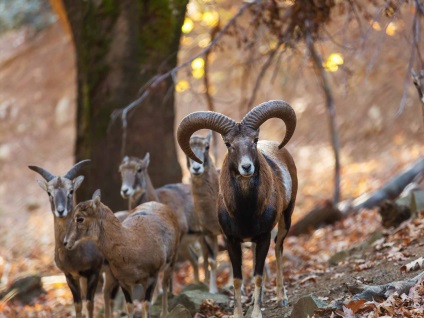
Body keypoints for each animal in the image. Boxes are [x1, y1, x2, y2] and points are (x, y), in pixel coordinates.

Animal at [28, 161, 104, 318]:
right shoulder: (70, 276)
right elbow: (78, 305)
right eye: (49, 192)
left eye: (71, 191)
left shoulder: (94, 272)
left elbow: (90, 304)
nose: (61, 210)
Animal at [63, 190, 180, 318]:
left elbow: (146, 304)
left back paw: (164, 313)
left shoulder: (152, 277)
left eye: (80, 218)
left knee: (164, 284)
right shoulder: (124, 282)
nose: (66, 242)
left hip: (171, 261)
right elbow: (130, 307)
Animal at [178, 100, 298, 318]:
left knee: (278, 249)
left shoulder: (263, 237)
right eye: (228, 144)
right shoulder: (231, 240)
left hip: (286, 218)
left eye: (254, 140)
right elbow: (237, 279)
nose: (246, 167)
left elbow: (257, 276)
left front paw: (257, 313)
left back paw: (281, 298)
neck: (245, 212)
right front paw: (237, 313)